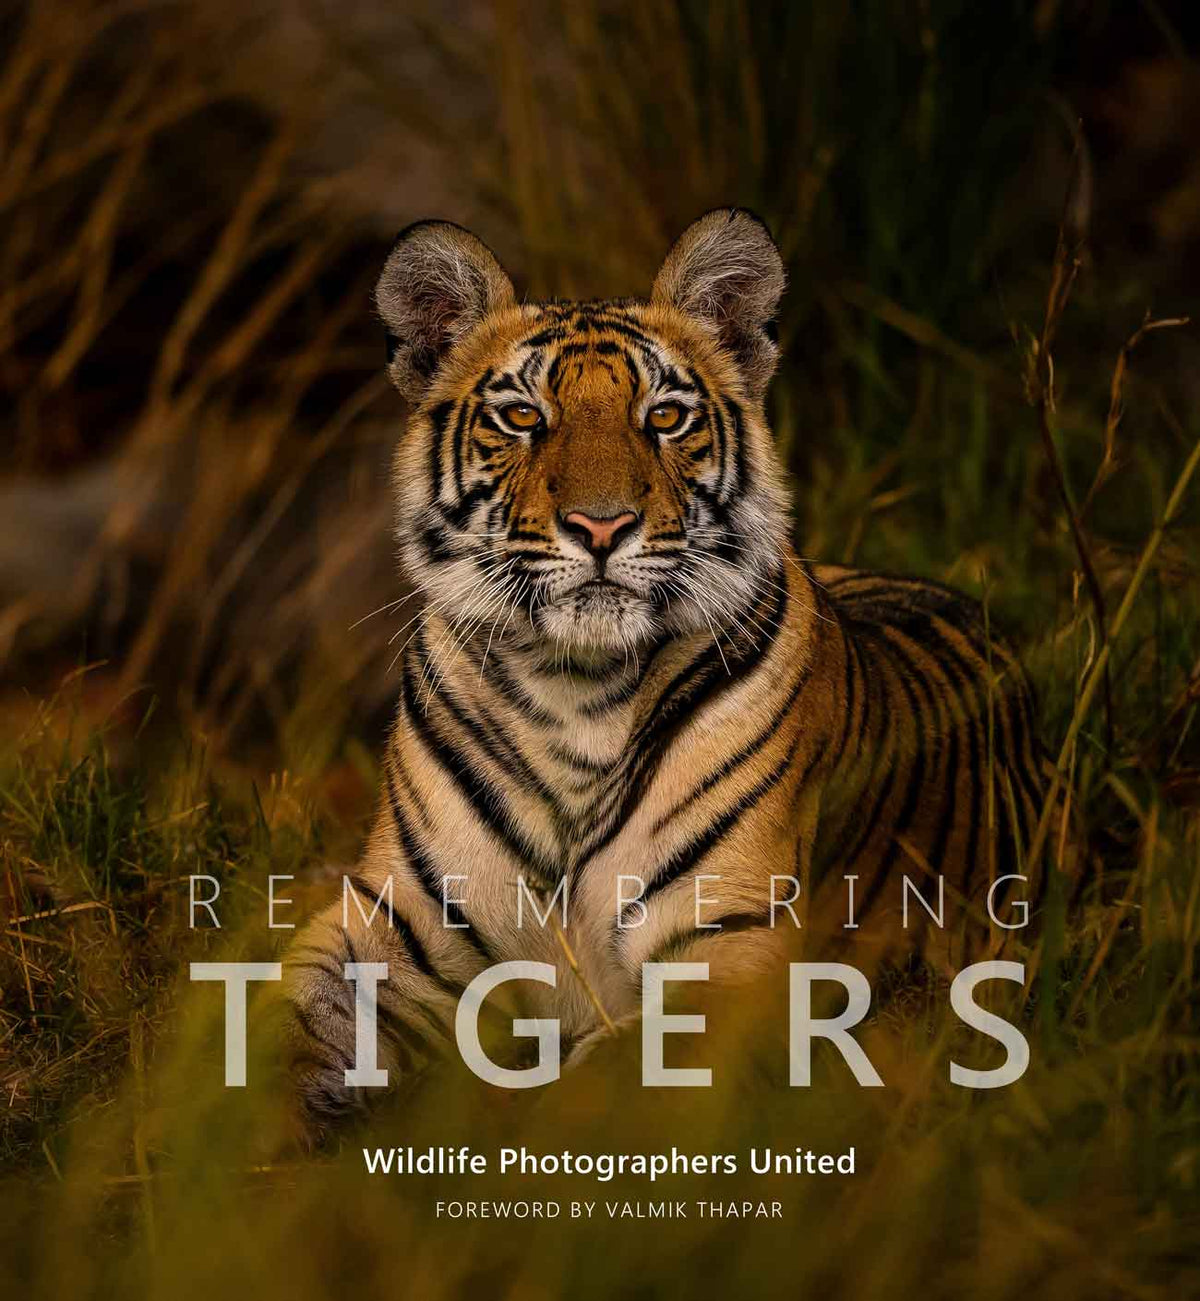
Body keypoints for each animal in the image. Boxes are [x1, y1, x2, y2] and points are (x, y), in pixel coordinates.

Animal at [280, 208, 1053, 1138]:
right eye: (522, 416)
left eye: (667, 415)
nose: (600, 525)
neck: (571, 688)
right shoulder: (394, 923)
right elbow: (284, 1026)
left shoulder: (729, 949)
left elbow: (590, 1088)